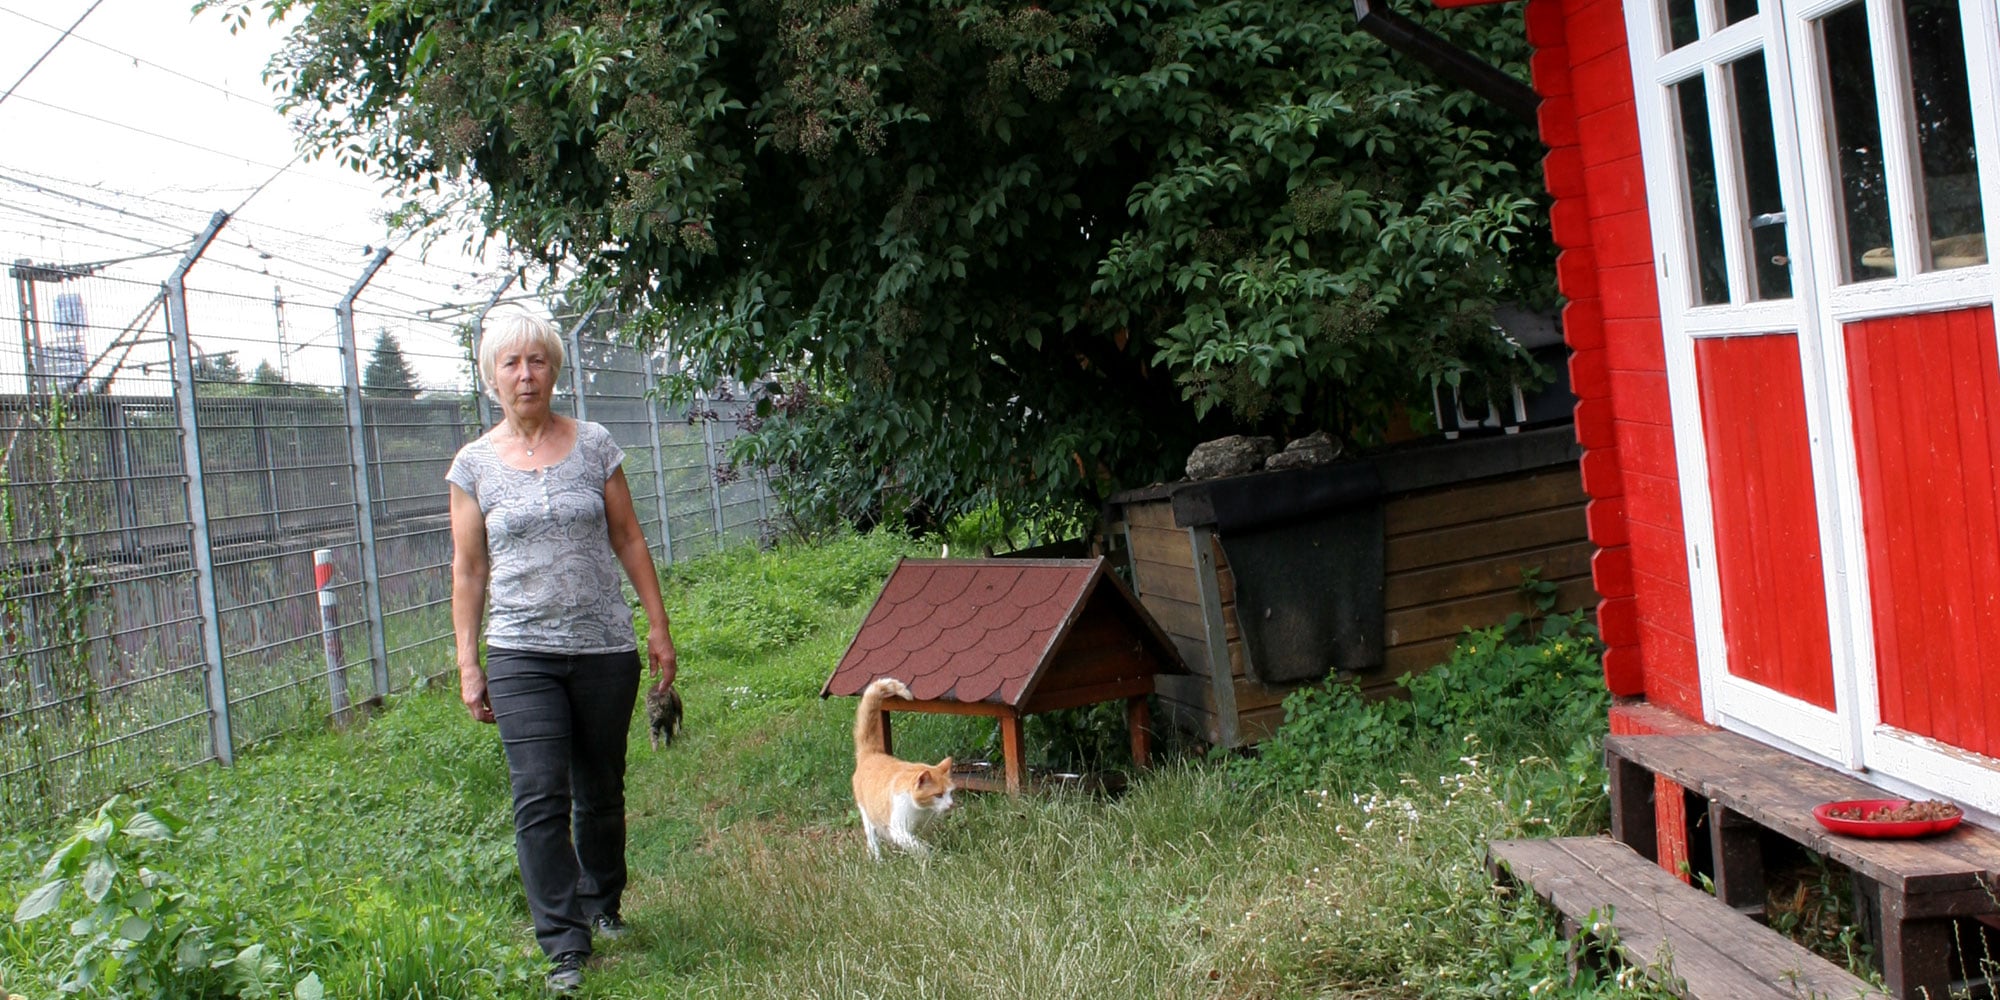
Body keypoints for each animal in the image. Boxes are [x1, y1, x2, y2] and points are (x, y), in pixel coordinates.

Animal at [852, 680, 952, 860]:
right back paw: (878, 859)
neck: (921, 810)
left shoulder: (923, 826)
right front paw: (931, 857)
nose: (951, 804)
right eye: (938, 795)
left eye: (950, 793)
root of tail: (871, 753)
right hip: (867, 815)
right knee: (872, 840)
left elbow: (923, 839)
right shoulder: (898, 830)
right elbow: (919, 847)